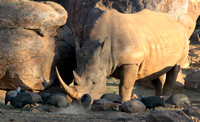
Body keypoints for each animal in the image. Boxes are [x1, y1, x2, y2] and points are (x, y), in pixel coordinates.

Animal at [55, 9, 189, 103]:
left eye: (93, 83)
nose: (78, 102)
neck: (103, 54)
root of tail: (178, 24)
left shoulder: (130, 62)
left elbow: (125, 85)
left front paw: (124, 103)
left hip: (184, 38)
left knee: (174, 70)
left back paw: (165, 98)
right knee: (154, 72)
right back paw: (159, 98)